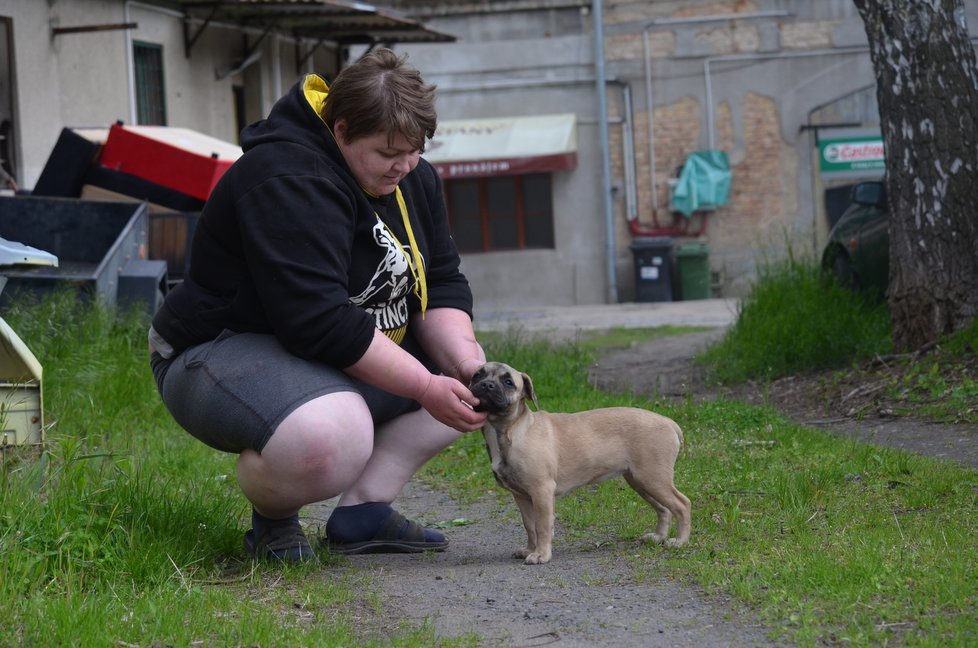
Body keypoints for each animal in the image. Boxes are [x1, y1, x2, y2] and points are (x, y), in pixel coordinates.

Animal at [468, 362, 692, 564]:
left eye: (508, 382)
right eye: (477, 375)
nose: (487, 385)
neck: (513, 427)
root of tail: (669, 423)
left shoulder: (541, 491)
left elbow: (542, 526)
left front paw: (541, 554)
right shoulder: (521, 496)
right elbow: (529, 526)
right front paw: (530, 549)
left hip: (654, 479)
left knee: (682, 505)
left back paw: (679, 542)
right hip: (641, 481)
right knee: (663, 509)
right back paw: (658, 537)